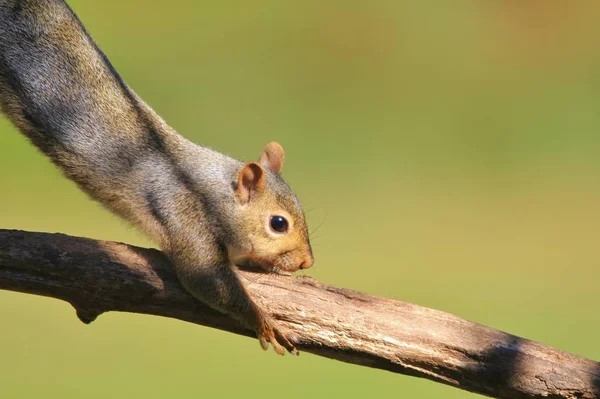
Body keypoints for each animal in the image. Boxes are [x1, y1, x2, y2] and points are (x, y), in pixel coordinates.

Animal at [0, 0, 316, 356]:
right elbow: (205, 278)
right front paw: (263, 321)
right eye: (278, 223)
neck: (209, 189)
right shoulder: (183, 213)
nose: (307, 262)